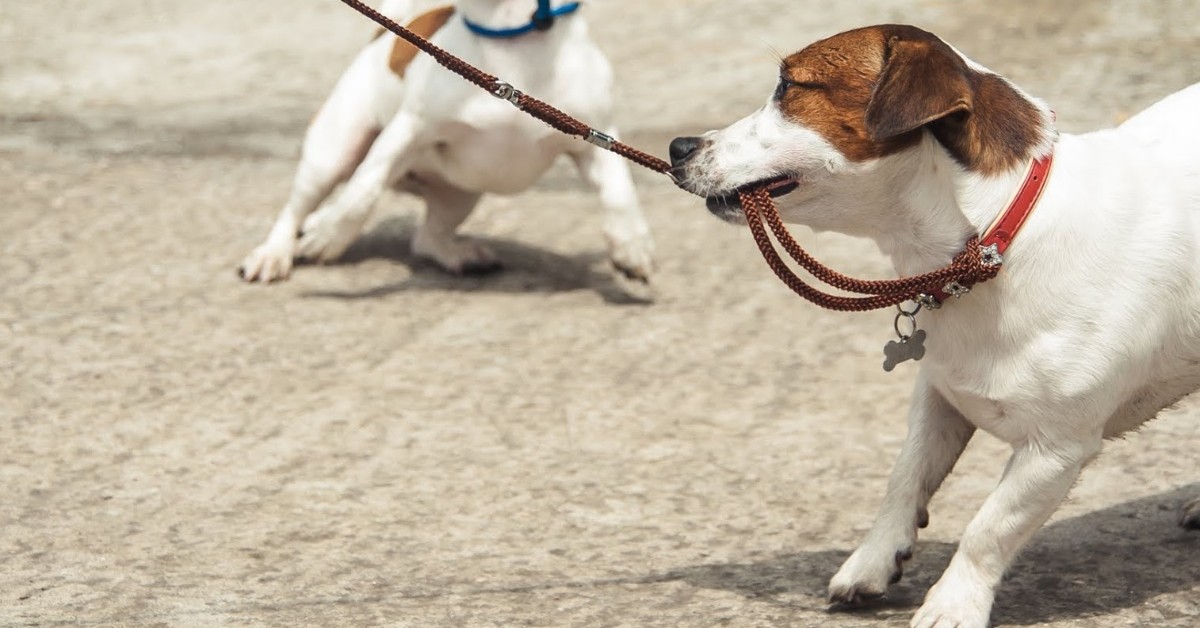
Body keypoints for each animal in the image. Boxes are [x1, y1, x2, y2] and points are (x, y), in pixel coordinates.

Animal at [238, 0, 652, 282]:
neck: (511, 34)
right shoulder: (408, 131)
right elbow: (362, 190)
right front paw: (329, 235)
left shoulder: (597, 137)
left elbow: (619, 194)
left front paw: (631, 246)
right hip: (333, 153)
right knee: (298, 209)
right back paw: (275, 253)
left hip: (461, 195)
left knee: (426, 237)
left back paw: (459, 255)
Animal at [672, 22, 1195, 628]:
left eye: (788, 87)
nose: (677, 147)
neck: (992, 246)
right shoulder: (941, 395)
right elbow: (905, 477)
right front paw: (874, 560)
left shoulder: (1056, 449)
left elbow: (989, 529)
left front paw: (953, 602)